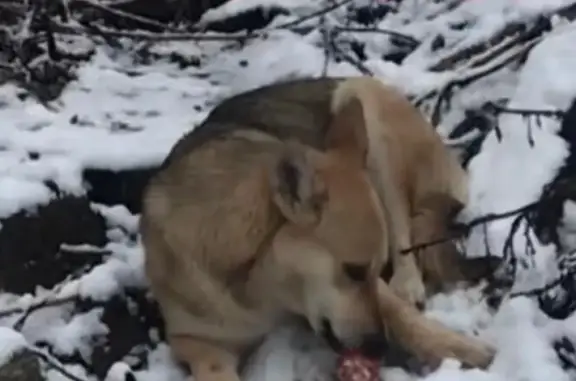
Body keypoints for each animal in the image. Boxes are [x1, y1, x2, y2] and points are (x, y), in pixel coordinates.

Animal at [140, 75, 496, 380]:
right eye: (353, 271)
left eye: (370, 270)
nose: (379, 347)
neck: (259, 289)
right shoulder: (196, 342)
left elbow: (400, 314)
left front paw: (459, 348)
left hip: (363, 105)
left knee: (403, 233)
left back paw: (407, 284)